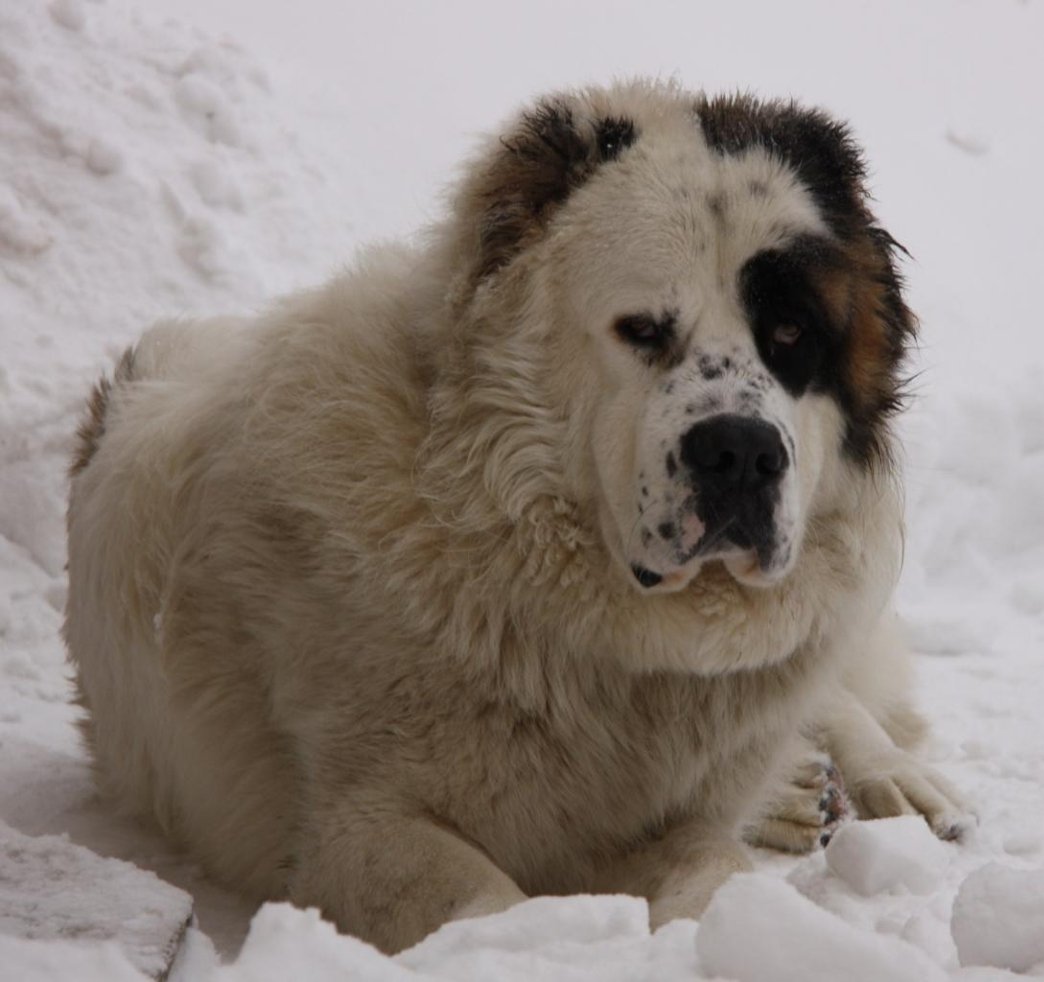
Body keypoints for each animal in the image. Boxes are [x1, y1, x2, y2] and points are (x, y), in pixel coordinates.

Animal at [65, 80, 964, 955]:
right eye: (642, 330)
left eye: (790, 332)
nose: (740, 452)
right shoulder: (359, 824)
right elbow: (485, 906)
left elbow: (716, 867)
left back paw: (891, 784)